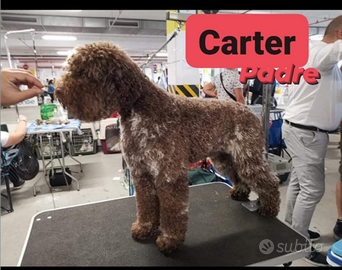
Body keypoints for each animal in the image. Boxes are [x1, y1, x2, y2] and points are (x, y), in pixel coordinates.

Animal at [55, 42, 280, 255]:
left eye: (84, 72)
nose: (57, 91)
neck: (141, 108)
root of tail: (248, 110)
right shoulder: (141, 173)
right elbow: (145, 205)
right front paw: (145, 228)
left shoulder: (169, 175)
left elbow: (171, 211)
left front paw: (169, 240)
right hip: (224, 158)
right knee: (239, 176)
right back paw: (241, 192)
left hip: (248, 157)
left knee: (269, 180)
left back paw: (269, 208)